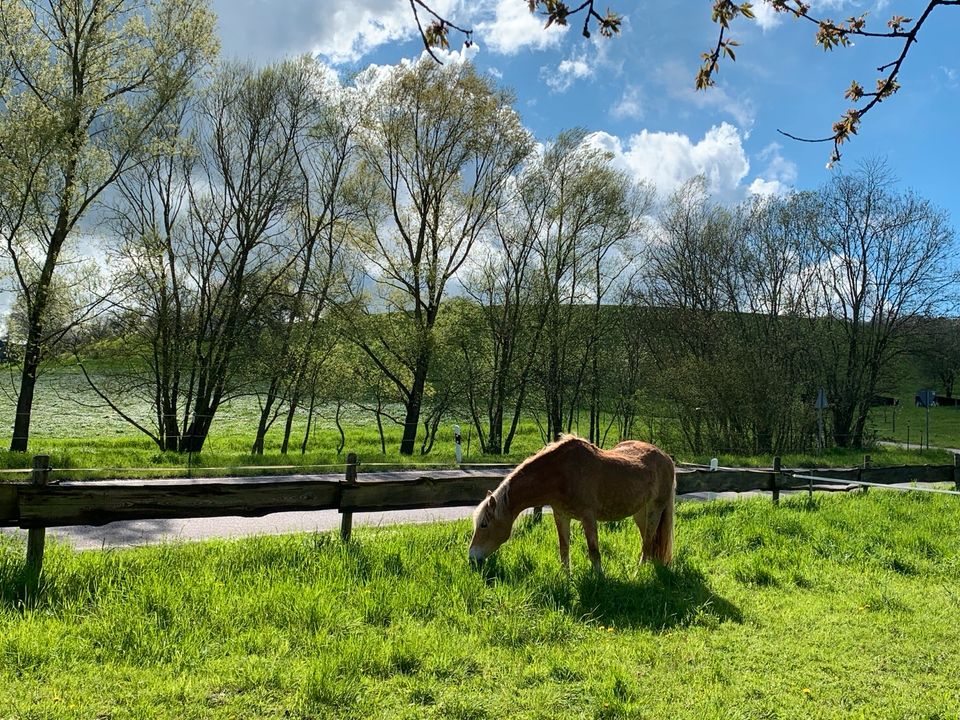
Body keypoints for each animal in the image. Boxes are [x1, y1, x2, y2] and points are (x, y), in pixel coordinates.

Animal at [470, 436, 676, 572]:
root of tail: (667, 458)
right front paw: (565, 578)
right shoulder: (561, 515)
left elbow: (594, 552)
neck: (561, 473)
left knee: (647, 543)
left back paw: (637, 573)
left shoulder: (588, 517)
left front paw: (600, 581)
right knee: (648, 542)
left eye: (484, 524)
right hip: (640, 513)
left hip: (655, 510)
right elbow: (564, 549)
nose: (472, 558)